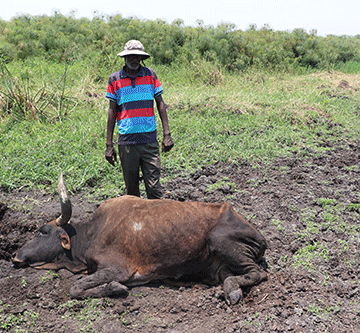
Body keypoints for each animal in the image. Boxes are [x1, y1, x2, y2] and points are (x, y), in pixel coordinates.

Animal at [11, 174, 268, 304]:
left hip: (220, 241)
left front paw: (114, 288)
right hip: (220, 266)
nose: (15, 256)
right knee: (232, 274)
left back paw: (232, 291)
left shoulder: (117, 269)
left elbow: (76, 288)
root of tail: (260, 236)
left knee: (258, 273)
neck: (92, 232)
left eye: (42, 231)